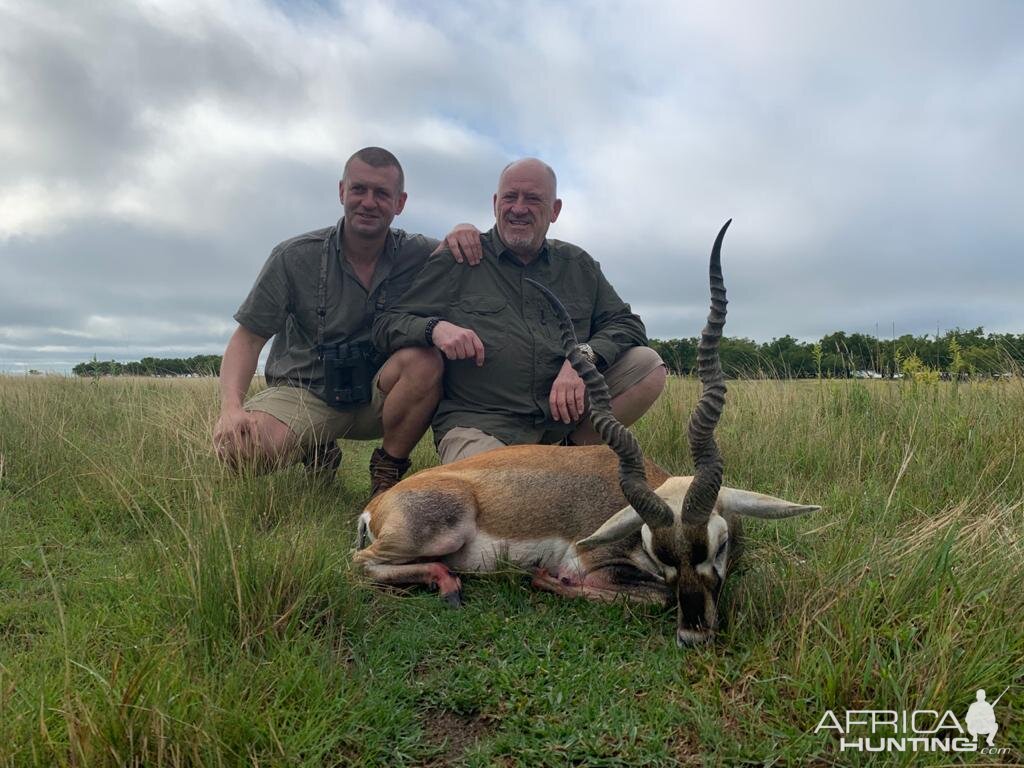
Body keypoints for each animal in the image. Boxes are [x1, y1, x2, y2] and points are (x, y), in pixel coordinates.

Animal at [356, 219, 819, 647]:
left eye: (718, 546)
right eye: (659, 555)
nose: (694, 635)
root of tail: (377, 506)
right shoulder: (589, 559)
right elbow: (655, 596)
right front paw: (546, 579)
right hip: (439, 532)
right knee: (359, 563)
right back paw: (450, 584)